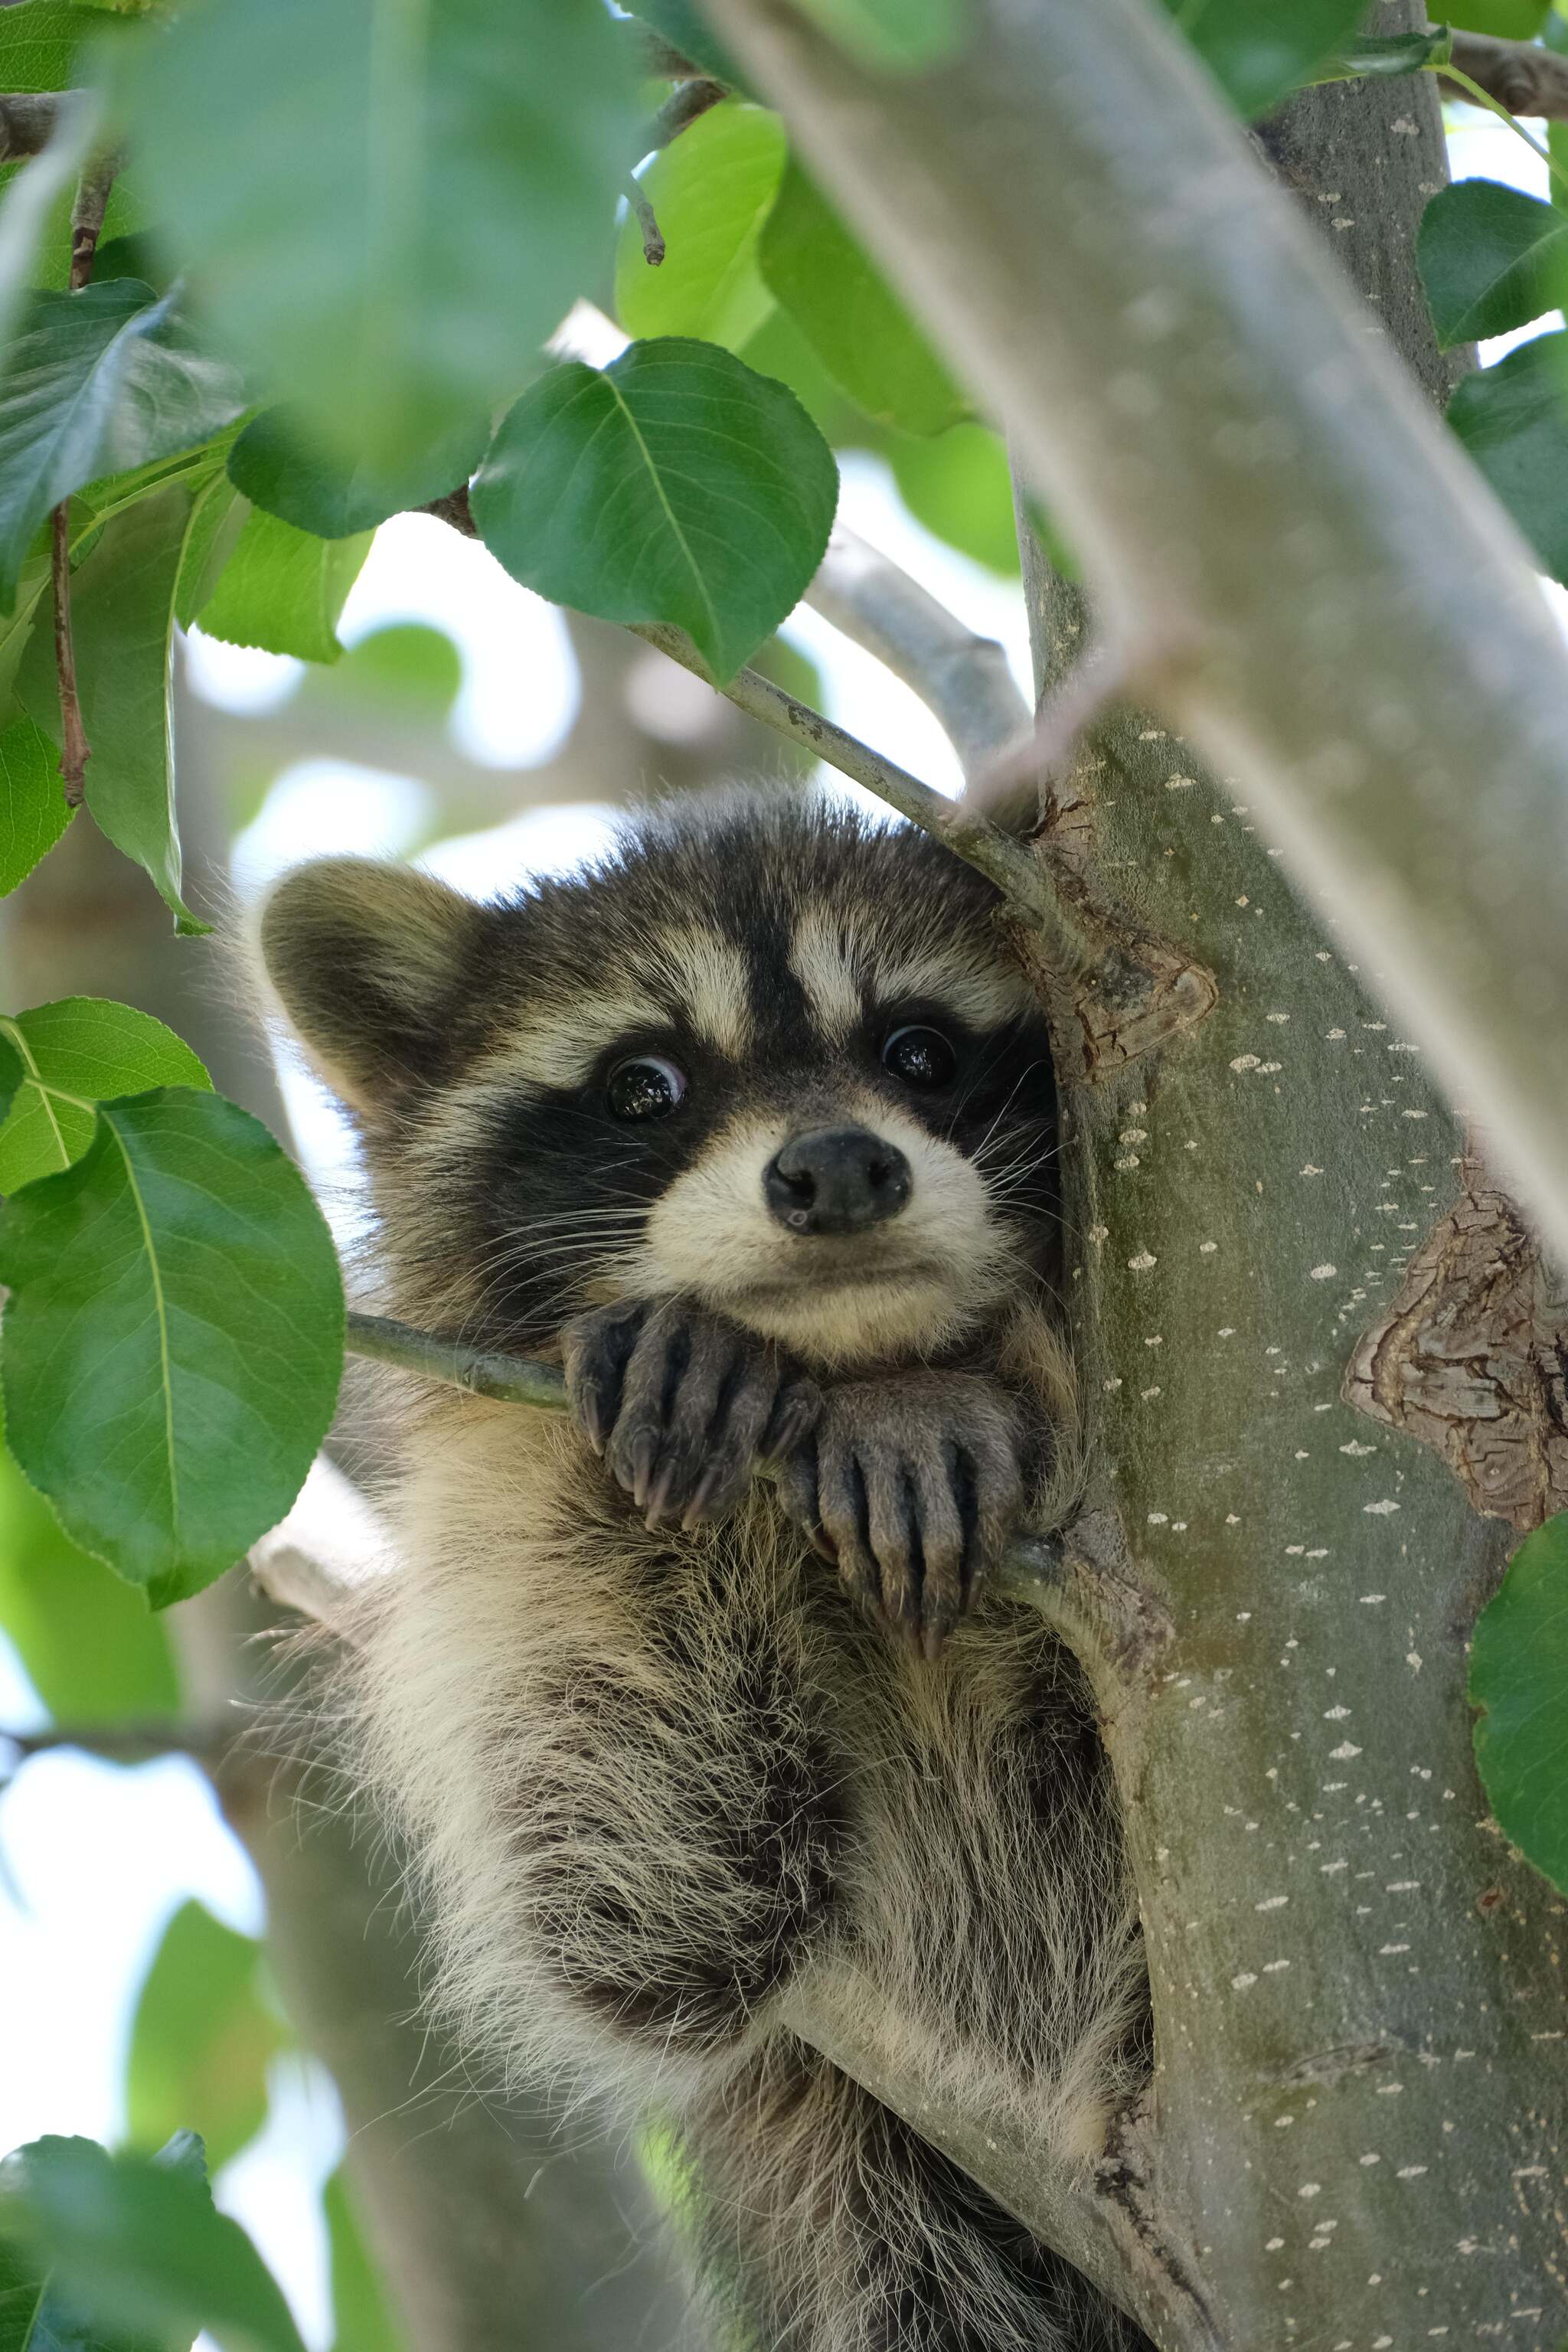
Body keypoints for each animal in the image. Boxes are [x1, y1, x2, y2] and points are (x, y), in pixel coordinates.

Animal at [260, 790, 1152, 2352]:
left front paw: (972, 1389)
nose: (839, 1167)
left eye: (918, 1049)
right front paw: (670, 1425)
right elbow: (638, 1900)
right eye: (642, 1086)